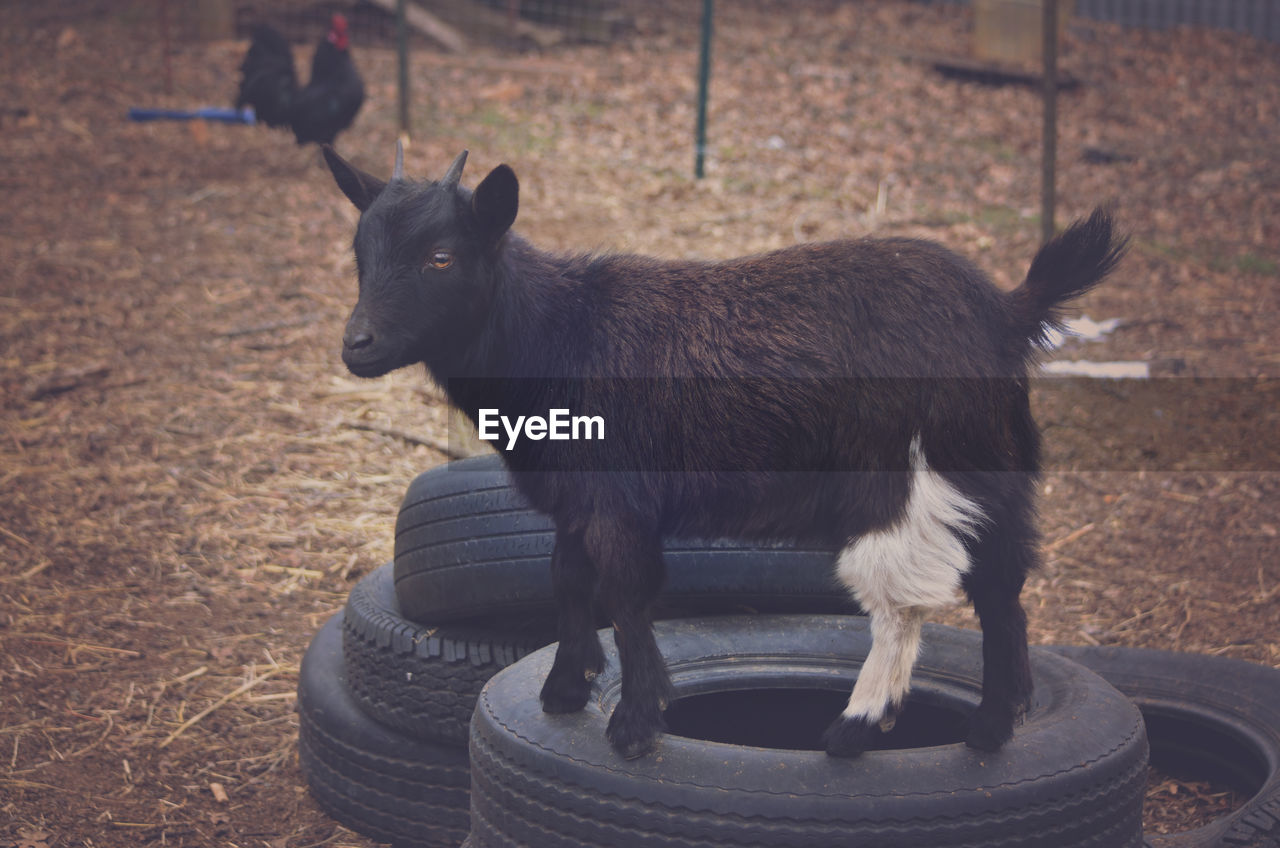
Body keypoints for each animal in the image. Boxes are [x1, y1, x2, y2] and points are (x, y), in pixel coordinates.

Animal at [325, 142, 1126, 758]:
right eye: (359, 252)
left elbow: (626, 594)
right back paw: (991, 728)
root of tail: (1006, 311)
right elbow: (566, 580)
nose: (357, 345)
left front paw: (635, 724)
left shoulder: (619, 500)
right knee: (1002, 588)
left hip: (902, 475)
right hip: (995, 469)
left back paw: (856, 728)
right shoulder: (577, 499)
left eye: (440, 257)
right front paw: (565, 687)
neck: (562, 333)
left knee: (906, 601)